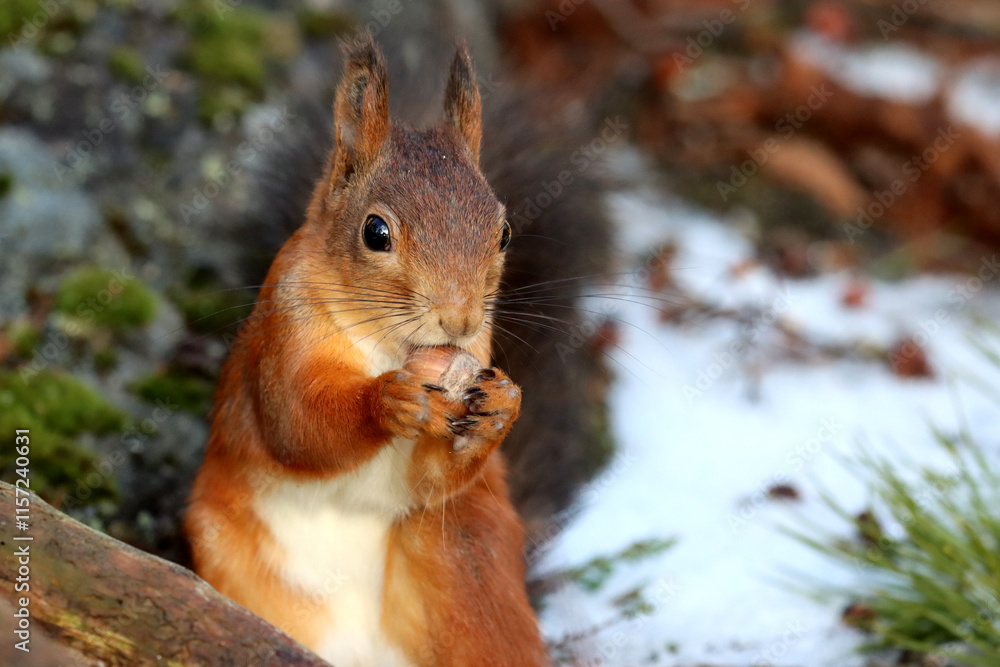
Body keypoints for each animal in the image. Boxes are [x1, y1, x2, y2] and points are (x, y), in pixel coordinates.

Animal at [186, 33, 613, 667]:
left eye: (504, 233)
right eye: (375, 233)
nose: (459, 319)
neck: (387, 348)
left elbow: (426, 484)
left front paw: (501, 410)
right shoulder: (281, 334)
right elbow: (296, 422)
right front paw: (388, 403)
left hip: (464, 559)